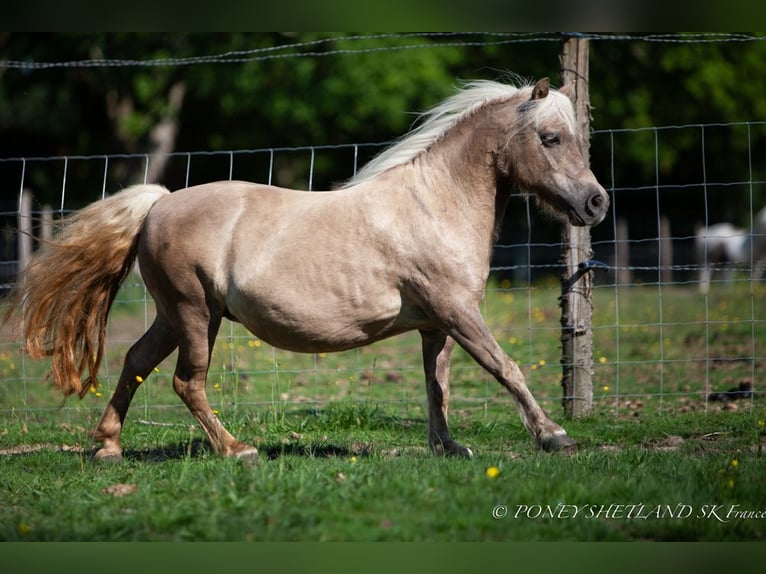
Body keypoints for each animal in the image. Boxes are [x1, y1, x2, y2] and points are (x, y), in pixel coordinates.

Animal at [3, 77, 608, 464]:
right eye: (551, 138)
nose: (597, 203)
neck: (435, 205)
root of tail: (159, 203)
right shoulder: (458, 312)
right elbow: (506, 369)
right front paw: (554, 437)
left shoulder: (436, 324)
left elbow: (436, 386)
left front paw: (448, 447)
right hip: (194, 314)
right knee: (185, 382)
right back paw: (236, 450)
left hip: (179, 315)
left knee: (135, 362)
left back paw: (107, 447)